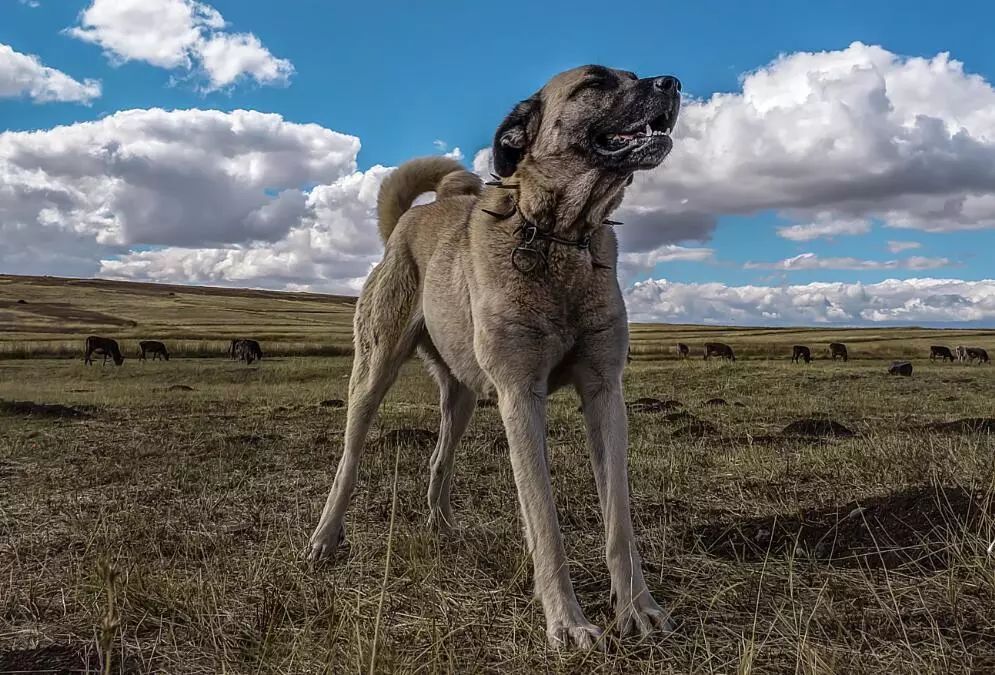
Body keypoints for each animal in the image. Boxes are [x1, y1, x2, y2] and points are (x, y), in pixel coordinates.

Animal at [310, 64, 684, 648]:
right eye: (595, 82)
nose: (673, 82)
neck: (558, 236)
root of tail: (407, 222)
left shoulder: (605, 392)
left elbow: (619, 518)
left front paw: (637, 608)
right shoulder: (519, 395)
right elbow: (544, 518)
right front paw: (568, 621)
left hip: (462, 395)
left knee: (439, 457)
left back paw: (442, 526)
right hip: (372, 371)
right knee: (349, 457)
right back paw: (326, 537)